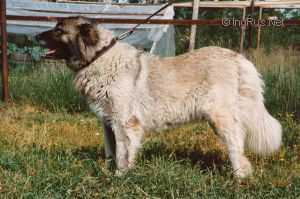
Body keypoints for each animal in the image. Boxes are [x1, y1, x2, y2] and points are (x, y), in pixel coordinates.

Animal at [36, 17, 282, 178]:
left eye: (59, 30)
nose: (36, 36)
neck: (98, 57)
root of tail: (237, 58)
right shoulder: (107, 122)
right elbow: (110, 152)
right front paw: (108, 174)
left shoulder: (124, 123)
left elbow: (123, 153)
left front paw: (120, 177)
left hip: (219, 117)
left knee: (235, 143)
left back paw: (239, 176)